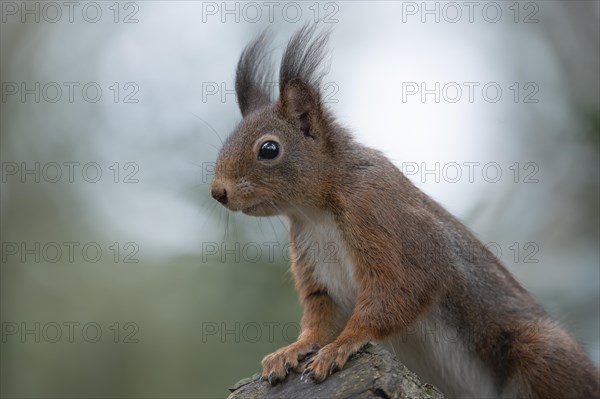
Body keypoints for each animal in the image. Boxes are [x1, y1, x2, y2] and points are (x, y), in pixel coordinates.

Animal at [211, 25, 600, 399]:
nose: (218, 192)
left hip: (540, 352)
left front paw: (340, 347)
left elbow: (399, 293)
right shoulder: (317, 271)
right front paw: (293, 349)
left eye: (269, 149)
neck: (315, 213)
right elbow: (320, 319)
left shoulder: (385, 218)